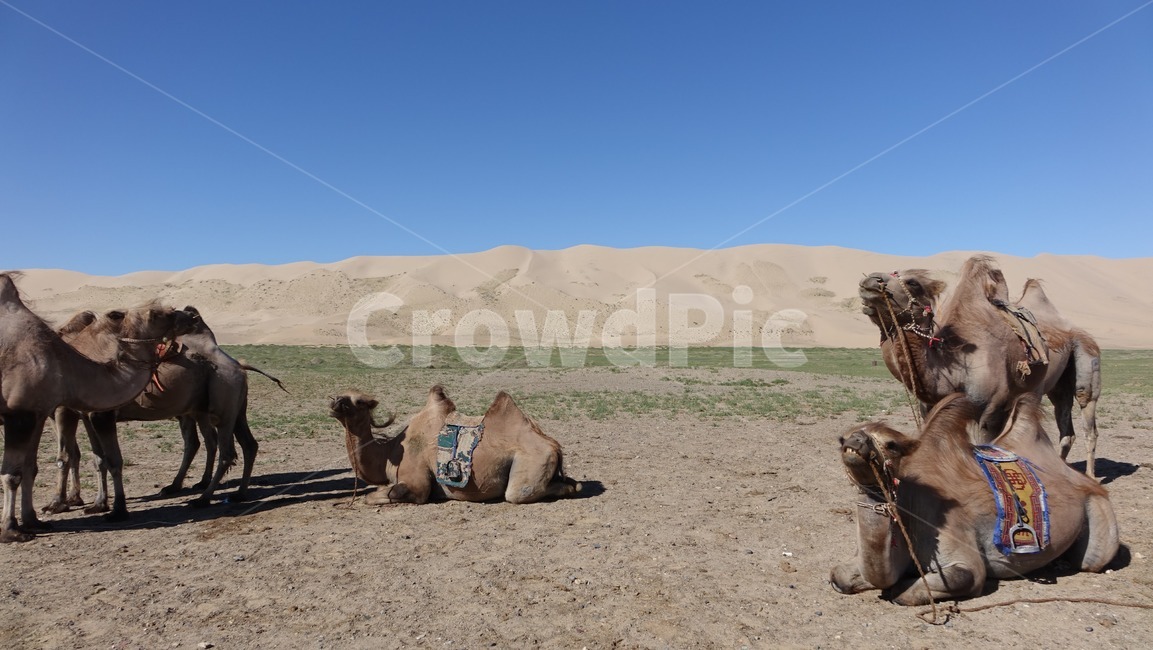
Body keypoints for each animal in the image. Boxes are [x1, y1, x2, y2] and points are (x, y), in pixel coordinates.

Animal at [0, 272, 193, 542]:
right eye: (155, 314)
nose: (191, 315)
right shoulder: (26, 413)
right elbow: (17, 472)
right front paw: (14, 528)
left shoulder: (42, 412)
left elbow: (34, 466)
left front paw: (33, 520)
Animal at [45, 306, 267, 519]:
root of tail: (238, 365)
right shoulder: (88, 415)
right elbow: (98, 459)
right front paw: (97, 504)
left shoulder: (90, 414)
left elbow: (94, 458)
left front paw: (112, 509)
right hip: (227, 409)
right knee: (243, 444)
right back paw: (232, 493)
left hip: (222, 405)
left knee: (225, 452)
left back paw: (202, 498)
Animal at [329, 385, 582, 504]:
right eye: (340, 395)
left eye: (360, 401)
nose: (334, 402)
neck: (389, 453)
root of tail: (553, 444)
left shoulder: (417, 483)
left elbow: (376, 495)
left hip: (529, 466)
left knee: (518, 493)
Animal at [830, 393, 1119, 605]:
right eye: (844, 438)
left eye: (891, 445)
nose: (857, 441)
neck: (908, 501)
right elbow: (838, 575)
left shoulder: (954, 539)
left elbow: (958, 578)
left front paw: (900, 588)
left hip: (1099, 513)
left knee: (1091, 560)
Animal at [858, 255, 1104, 476]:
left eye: (912, 283)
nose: (870, 280)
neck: (953, 369)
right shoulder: (929, 407)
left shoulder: (992, 411)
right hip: (1057, 384)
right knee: (1065, 423)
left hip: (1087, 354)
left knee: (1087, 410)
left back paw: (1091, 476)